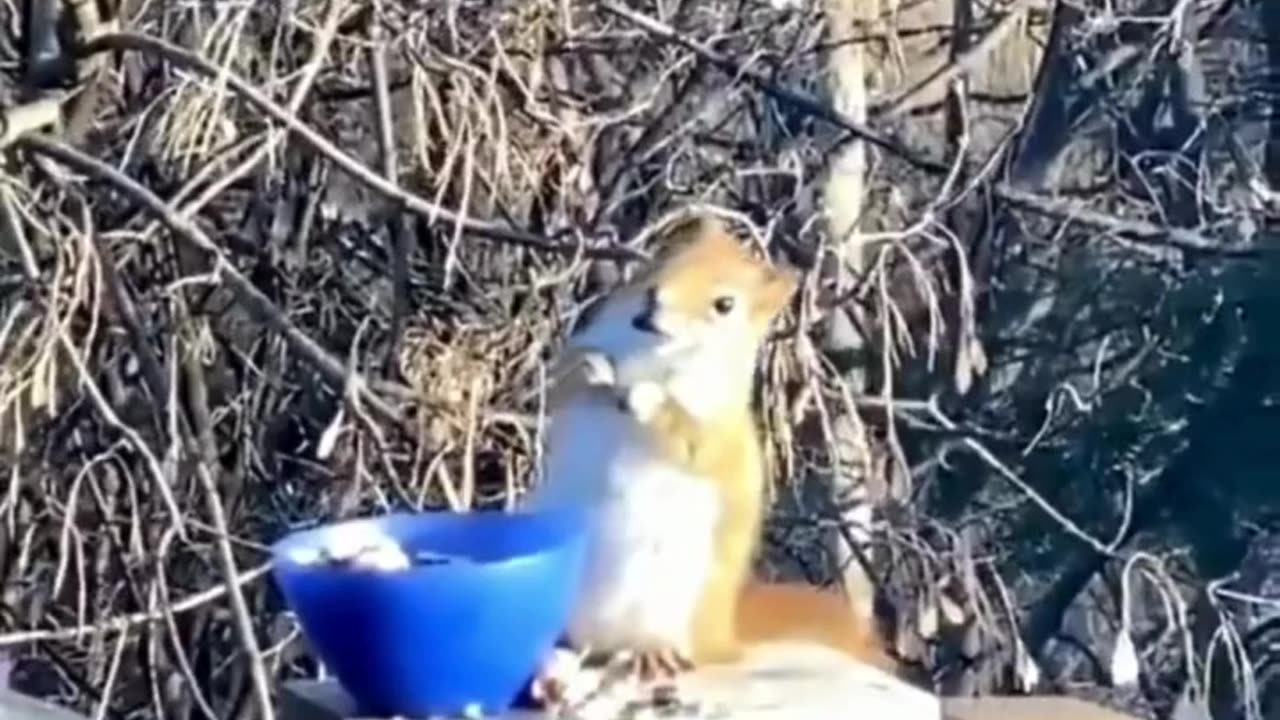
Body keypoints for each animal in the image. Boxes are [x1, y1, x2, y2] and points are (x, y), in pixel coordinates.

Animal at [519, 211, 901, 702]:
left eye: (725, 305)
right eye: (667, 259)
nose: (654, 302)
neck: (653, 354)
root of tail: (724, 638)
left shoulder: (716, 424)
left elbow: (690, 439)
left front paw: (646, 397)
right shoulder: (575, 362)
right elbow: (564, 380)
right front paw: (594, 368)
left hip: (673, 597)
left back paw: (651, 656)